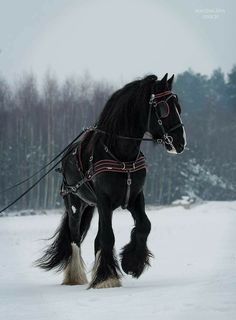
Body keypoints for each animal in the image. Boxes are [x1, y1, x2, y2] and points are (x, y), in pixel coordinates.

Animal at [36, 74, 186, 288]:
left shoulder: (134, 197)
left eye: (178, 106)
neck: (121, 154)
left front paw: (132, 263)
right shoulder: (104, 201)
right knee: (75, 237)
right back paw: (75, 276)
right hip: (75, 203)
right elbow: (107, 237)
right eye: (164, 108)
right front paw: (107, 277)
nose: (180, 143)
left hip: (92, 205)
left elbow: (144, 225)